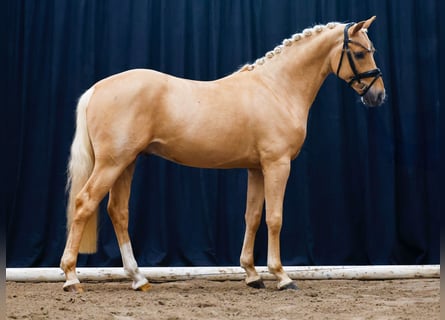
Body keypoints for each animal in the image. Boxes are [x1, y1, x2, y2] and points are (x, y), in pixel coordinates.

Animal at [60, 16, 384, 292]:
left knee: (118, 212)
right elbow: (275, 218)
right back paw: (72, 277)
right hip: (112, 164)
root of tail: (97, 88)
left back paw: (138, 278)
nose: (378, 95)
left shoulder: (256, 168)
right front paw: (282, 276)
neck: (276, 88)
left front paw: (252, 275)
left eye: (371, 50)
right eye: (359, 54)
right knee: (84, 203)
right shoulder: (276, 165)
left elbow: (252, 217)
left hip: (126, 163)